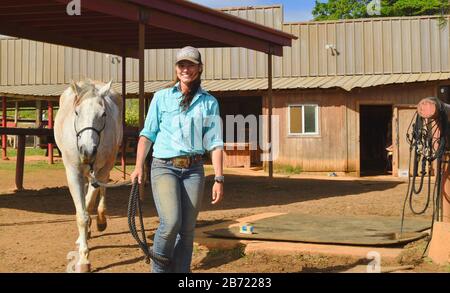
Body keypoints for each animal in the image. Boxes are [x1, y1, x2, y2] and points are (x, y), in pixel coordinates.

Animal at [53, 80, 122, 272]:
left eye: (103, 113)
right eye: (77, 112)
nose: (87, 151)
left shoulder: (100, 171)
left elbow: (89, 204)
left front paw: (84, 257)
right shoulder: (73, 172)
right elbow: (81, 215)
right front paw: (83, 255)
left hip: (107, 166)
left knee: (102, 189)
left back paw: (100, 220)